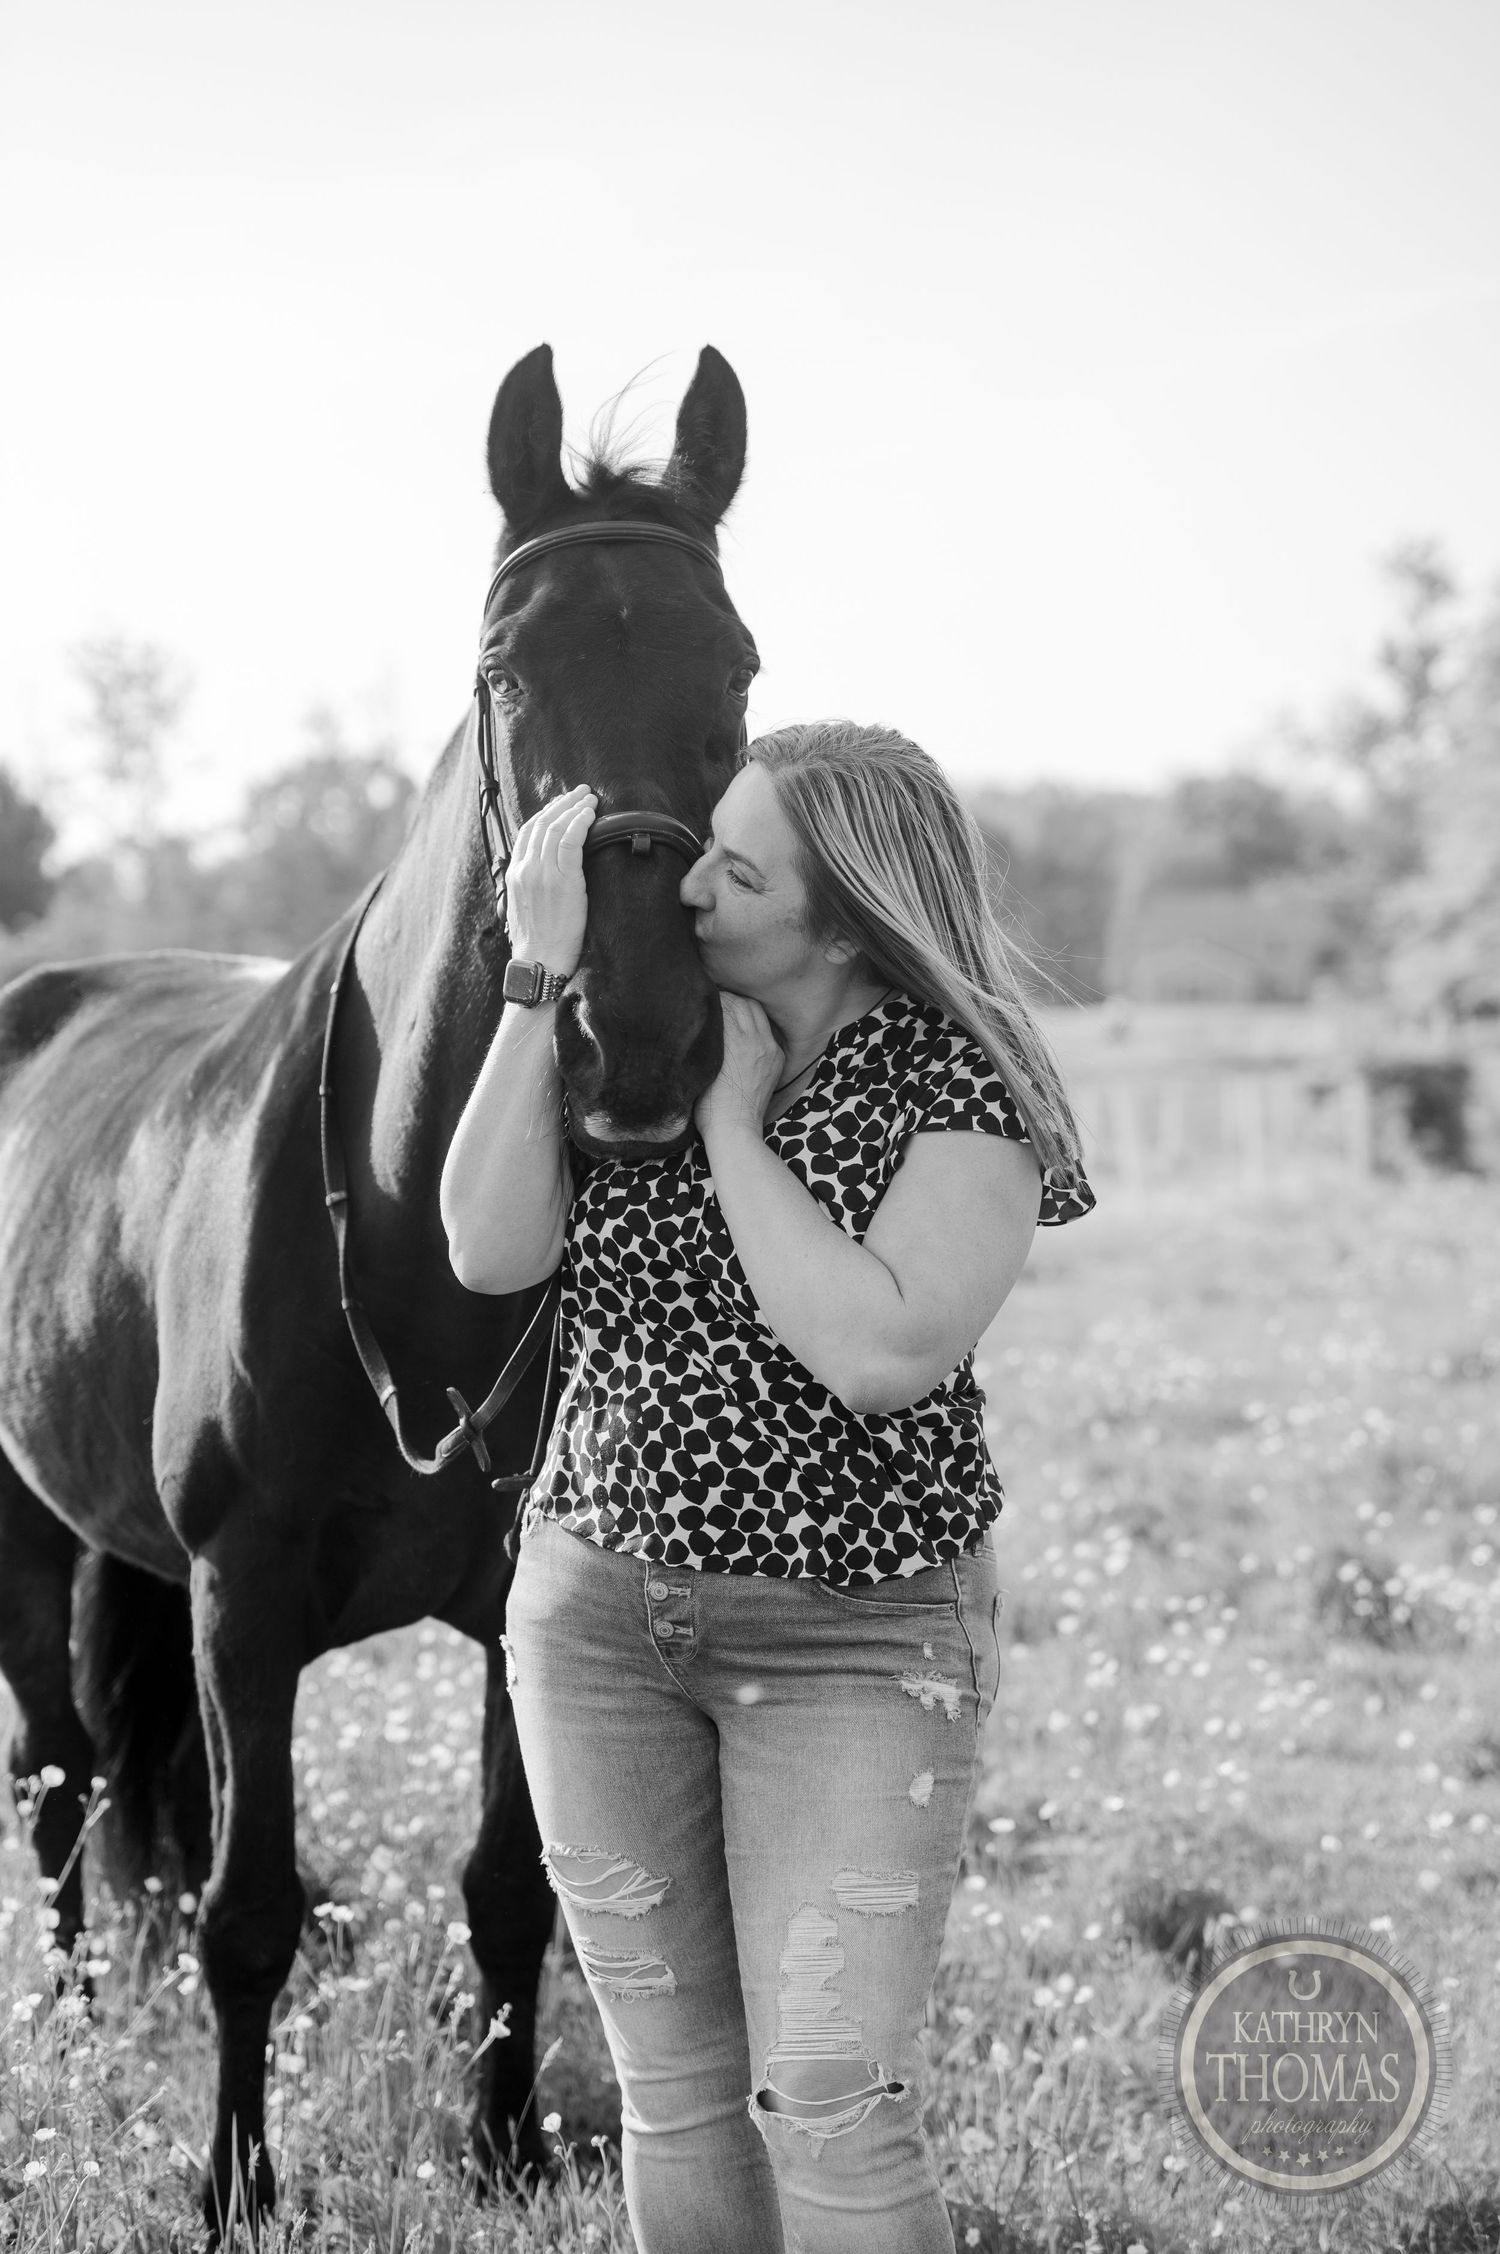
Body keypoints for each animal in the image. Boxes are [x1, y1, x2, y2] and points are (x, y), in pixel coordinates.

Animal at [0, 341, 757, 2233]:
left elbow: (513, 1881)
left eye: (737, 666)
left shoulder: (518, 1600)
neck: (419, 1232)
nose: (637, 1039)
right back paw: (68, 2020)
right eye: (506, 669)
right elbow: (247, 1906)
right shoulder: (242, 1604)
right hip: (22, 1525)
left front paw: (501, 2145)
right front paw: (235, 2185)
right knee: (56, 1775)